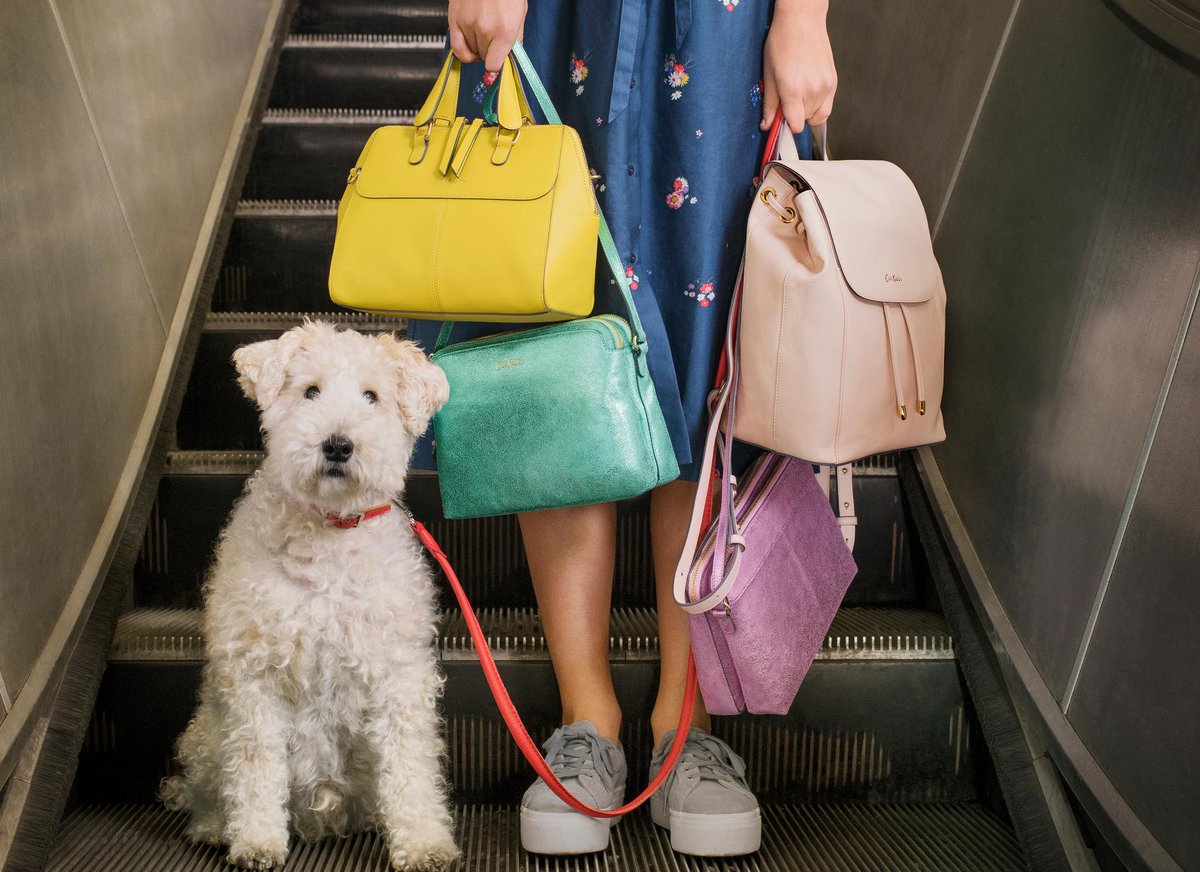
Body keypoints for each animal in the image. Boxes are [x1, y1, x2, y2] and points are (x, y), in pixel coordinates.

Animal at [158, 321, 453, 872]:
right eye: (310, 390)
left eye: (372, 396)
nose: (338, 446)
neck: (330, 534)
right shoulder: (255, 676)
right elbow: (256, 767)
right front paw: (256, 841)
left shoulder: (398, 675)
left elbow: (410, 766)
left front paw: (424, 841)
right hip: (206, 737)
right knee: (207, 789)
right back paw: (213, 828)